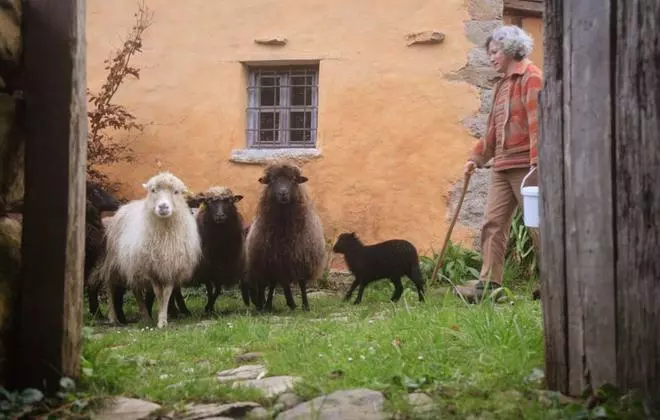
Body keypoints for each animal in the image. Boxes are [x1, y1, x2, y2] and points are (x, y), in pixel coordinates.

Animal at [97, 171, 202, 328]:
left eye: (176, 192)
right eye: (153, 190)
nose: (163, 207)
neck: (165, 235)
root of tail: (127, 206)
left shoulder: (169, 268)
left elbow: (167, 294)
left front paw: (163, 319)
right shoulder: (152, 270)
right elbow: (158, 294)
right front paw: (161, 320)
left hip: (133, 264)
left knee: (136, 290)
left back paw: (145, 316)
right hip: (114, 261)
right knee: (110, 287)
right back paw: (113, 318)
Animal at [244, 162, 326, 312]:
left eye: (293, 179)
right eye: (273, 180)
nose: (283, 192)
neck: (284, 228)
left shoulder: (301, 257)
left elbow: (302, 283)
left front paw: (305, 306)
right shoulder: (272, 260)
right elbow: (272, 284)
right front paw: (268, 305)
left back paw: (290, 303)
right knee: (266, 284)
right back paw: (263, 305)